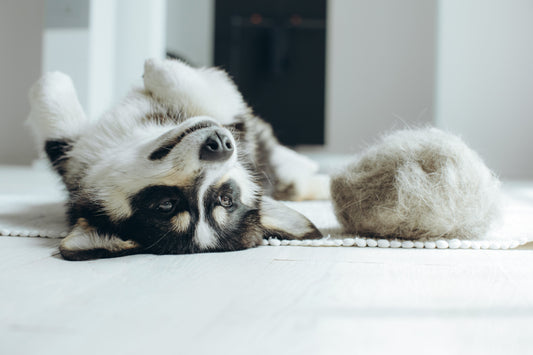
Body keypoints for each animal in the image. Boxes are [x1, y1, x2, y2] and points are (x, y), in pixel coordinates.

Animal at [29, 58, 330, 262]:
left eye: (225, 200)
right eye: (167, 205)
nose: (220, 146)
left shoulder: (233, 123)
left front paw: (158, 68)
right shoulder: (74, 156)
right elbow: (58, 131)